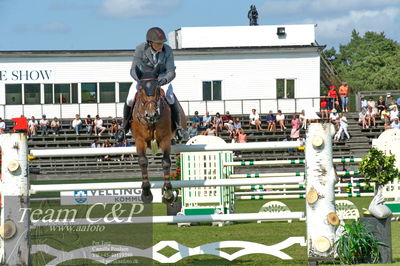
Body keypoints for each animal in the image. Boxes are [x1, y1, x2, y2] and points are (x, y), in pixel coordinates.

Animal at [131, 67, 188, 204]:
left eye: (158, 88)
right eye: (140, 89)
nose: (151, 114)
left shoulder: (164, 139)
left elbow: (166, 162)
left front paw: (168, 193)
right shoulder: (140, 140)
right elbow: (143, 161)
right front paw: (146, 193)